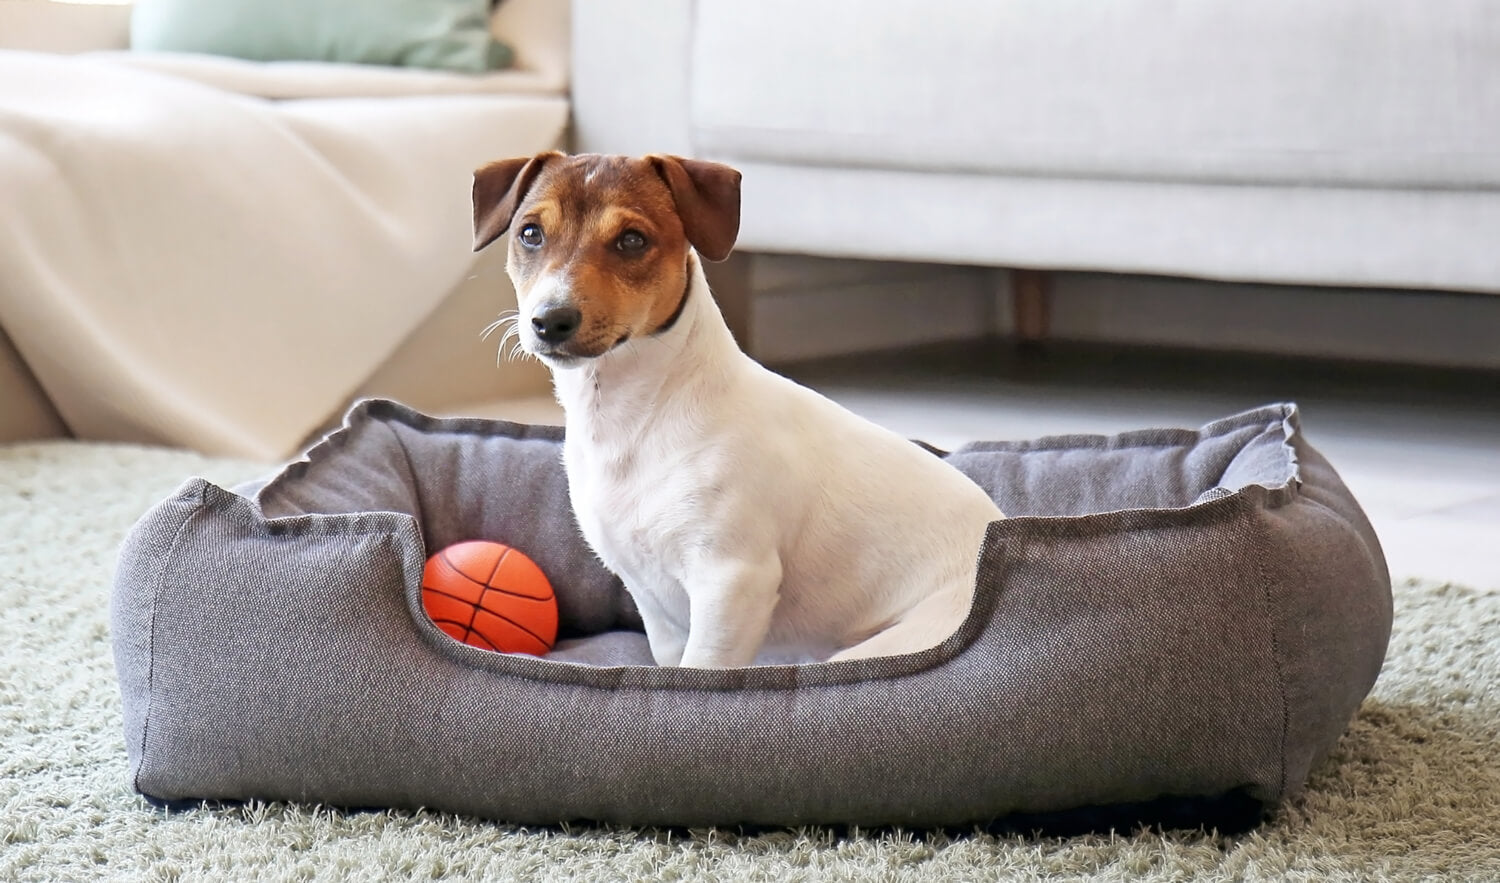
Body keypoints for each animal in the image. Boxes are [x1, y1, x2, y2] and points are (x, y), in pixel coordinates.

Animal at [474, 151, 1002, 665]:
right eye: (530, 234)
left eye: (631, 240)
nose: (550, 320)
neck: (635, 418)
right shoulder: (652, 600)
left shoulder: (732, 583)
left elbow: (701, 668)